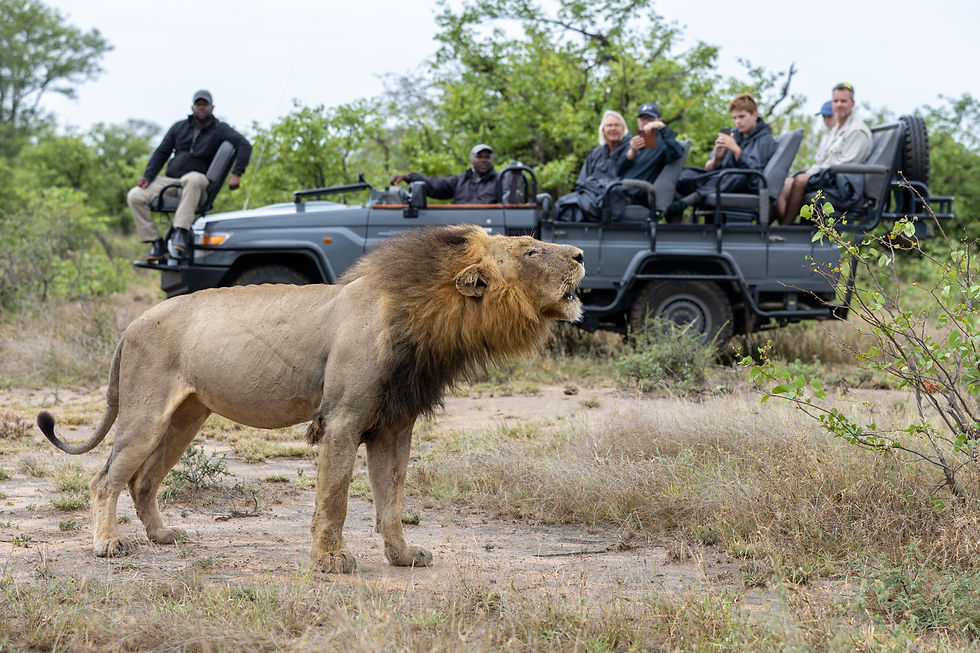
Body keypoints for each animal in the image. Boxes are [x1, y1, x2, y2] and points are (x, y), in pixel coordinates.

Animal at [37, 225, 584, 573]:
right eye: (530, 251)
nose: (580, 255)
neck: (427, 316)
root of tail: (131, 324)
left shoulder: (394, 426)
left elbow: (392, 501)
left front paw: (404, 557)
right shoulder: (342, 419)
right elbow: (335, 498)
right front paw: (331, 560)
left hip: (188, 417)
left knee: (144, 480)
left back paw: (163, 537)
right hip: (145, 413)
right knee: (105, 478)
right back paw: (109, 544)